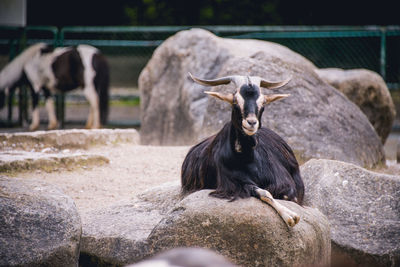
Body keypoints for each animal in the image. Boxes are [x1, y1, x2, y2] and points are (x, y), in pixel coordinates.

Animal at [180, 72, 304, 227]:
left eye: (263, 103)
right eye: (235, 101)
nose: (251, 123)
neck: (246, 158)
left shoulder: (286, 183)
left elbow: (285, 195)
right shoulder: (232, 184)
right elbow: (264, 192)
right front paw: (290, 216)